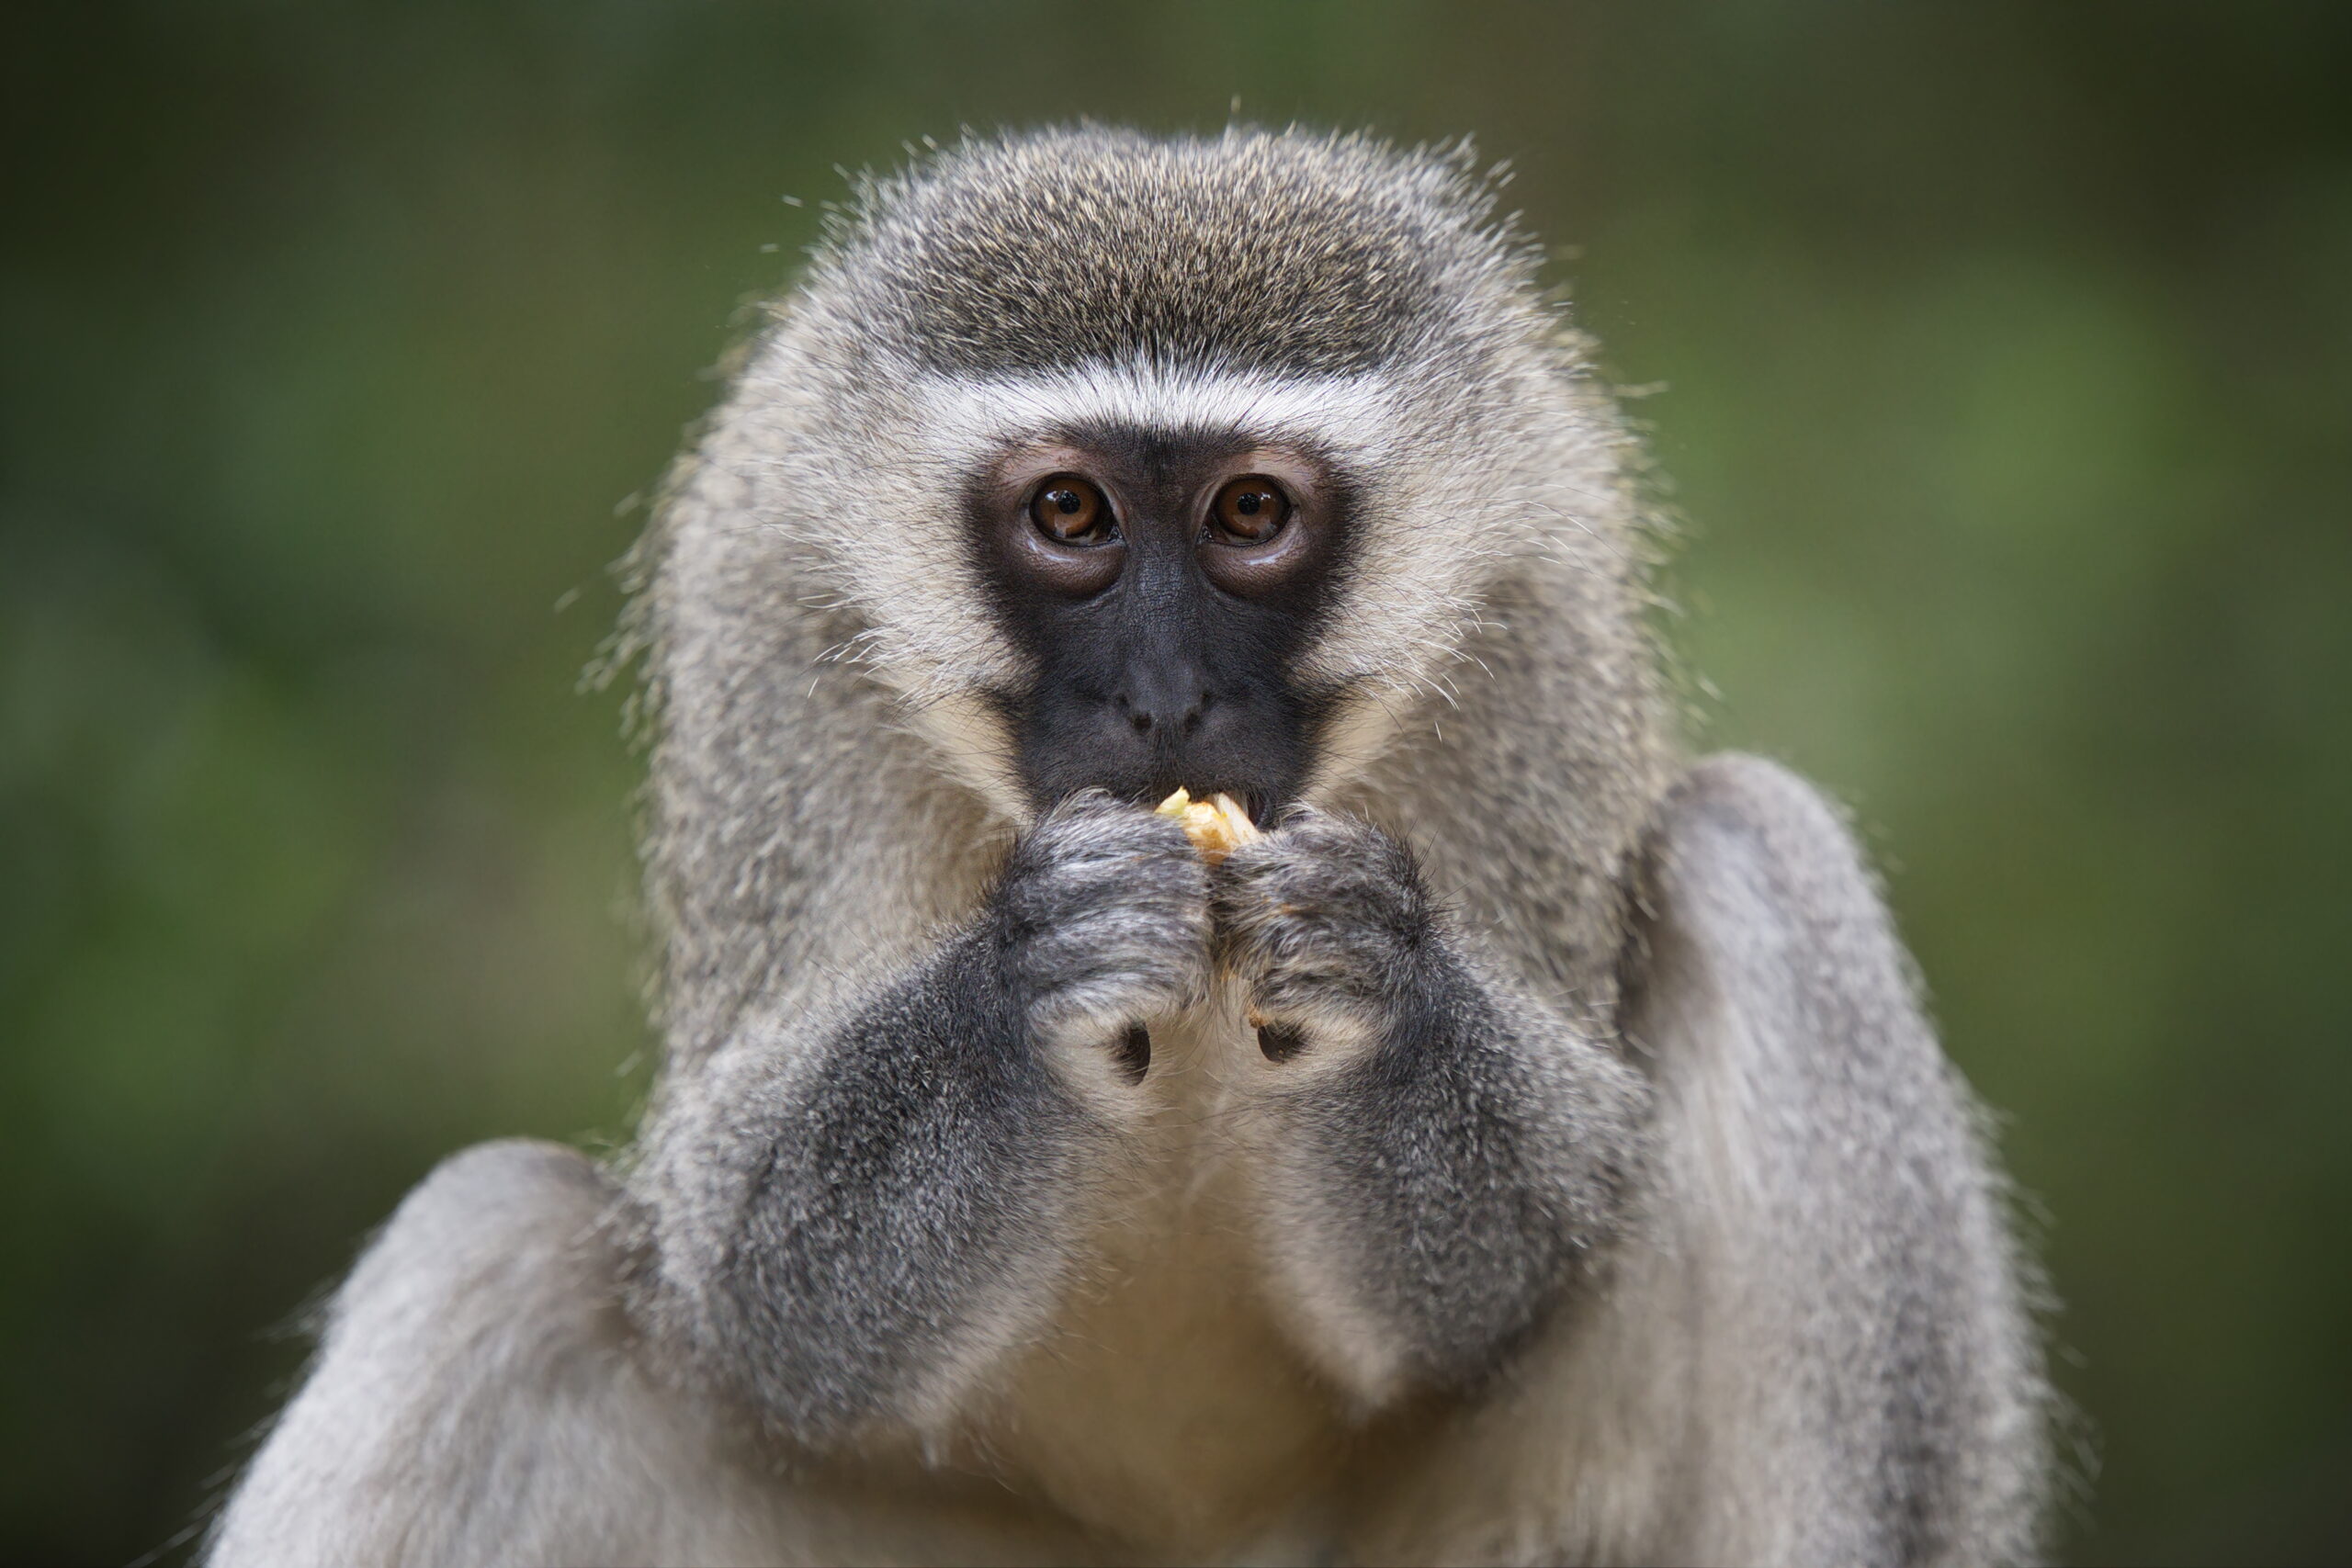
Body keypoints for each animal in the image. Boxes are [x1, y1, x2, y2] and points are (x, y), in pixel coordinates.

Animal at [202, 129, 2051, 1561]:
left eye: (1251, 514)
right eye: (1071, 515)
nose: (1167, 698)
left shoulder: (1538, 610)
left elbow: (1516, 1250)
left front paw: (1382, 971)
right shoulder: (772, 618)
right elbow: (754, 1289)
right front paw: (1028, 977)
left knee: (1757, 848)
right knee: (496, 1241)